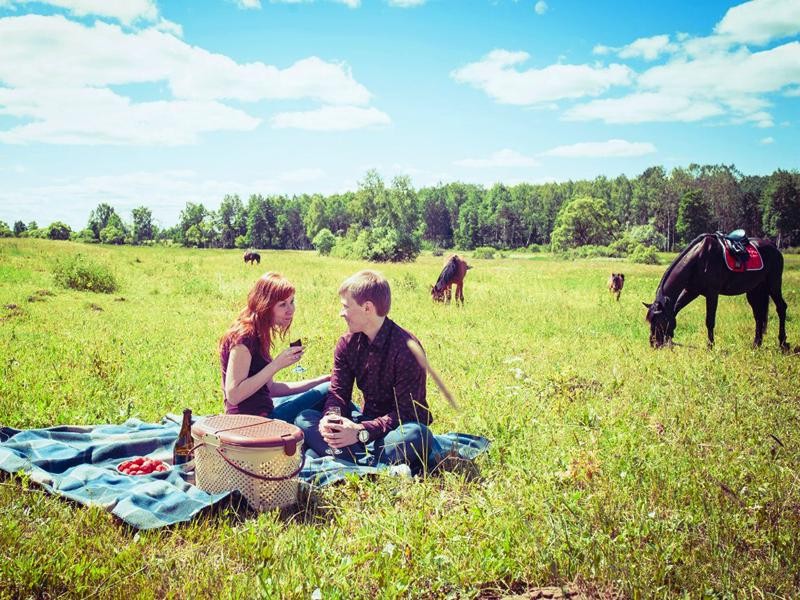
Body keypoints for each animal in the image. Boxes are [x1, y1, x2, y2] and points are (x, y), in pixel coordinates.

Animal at [643, 233, 789, 350]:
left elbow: (710, 321)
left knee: (781, 308)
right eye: (650, 321)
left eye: (658, 321)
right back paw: (756, 344)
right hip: (755, 290)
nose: (654, 344)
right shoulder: (691, 291)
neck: (698, 259)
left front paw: (710, 346)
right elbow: (676, 308)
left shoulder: (712, 293)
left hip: (773, 285)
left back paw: (782, 343)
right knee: (759, 315)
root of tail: (774, 247)